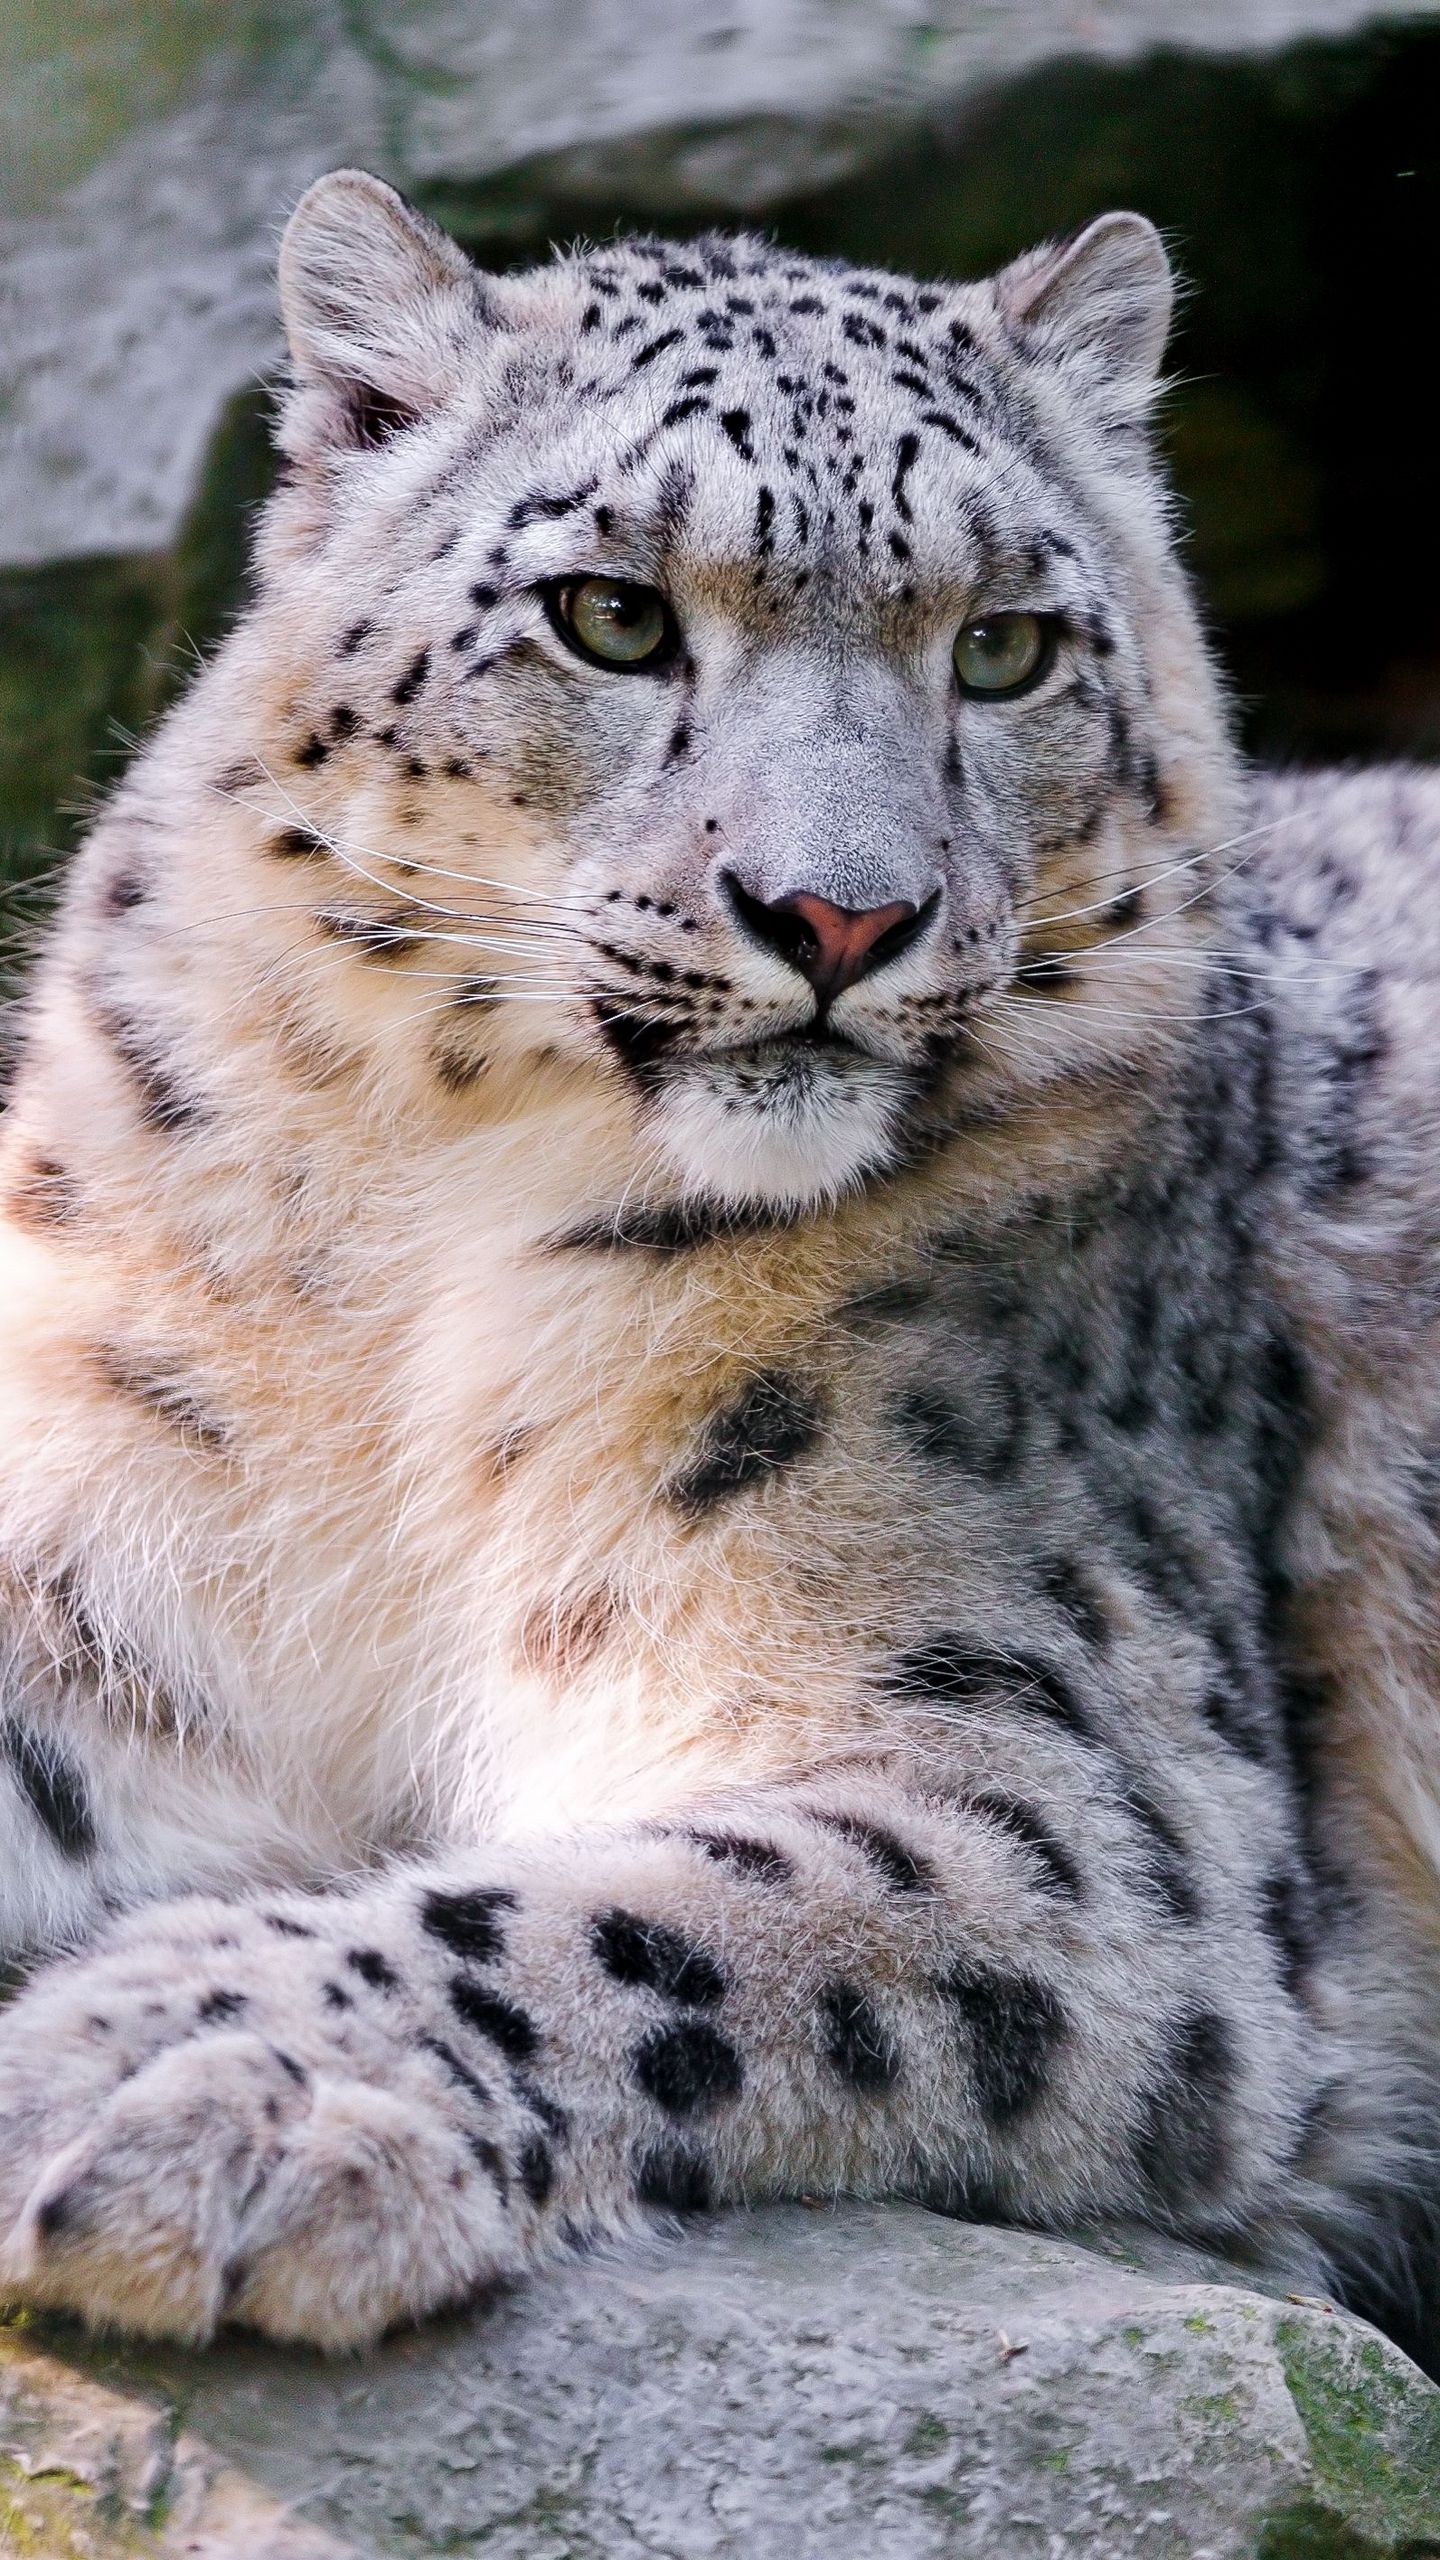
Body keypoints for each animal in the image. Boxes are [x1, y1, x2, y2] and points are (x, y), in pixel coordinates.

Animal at [1, 167, 1438, 2369]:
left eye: (1004, 647)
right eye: (612, 611)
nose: (841, 913)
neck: (419, 1258)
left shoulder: (1065, 1782)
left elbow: (639, 1917)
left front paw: (184, 2071)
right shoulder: (100, 1553)